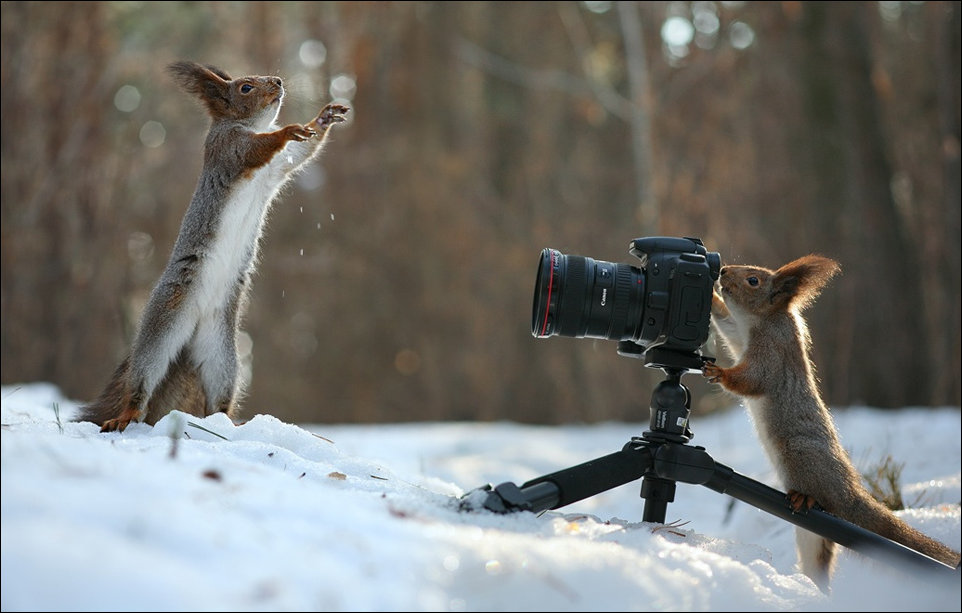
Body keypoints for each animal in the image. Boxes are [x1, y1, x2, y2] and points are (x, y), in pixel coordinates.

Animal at [78, 58, 348, 430]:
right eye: (245, 87)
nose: (278, 81)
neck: (245, 124)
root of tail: (192, 332)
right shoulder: (227, 149)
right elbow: (255, 149)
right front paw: (286, 131)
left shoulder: (277, 168)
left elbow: (302, 152)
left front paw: (323, 118)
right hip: (163, 326)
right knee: (143, 379)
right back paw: (127, 415)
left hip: (223, 356)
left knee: (218, 397)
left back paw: (226, 425)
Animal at [700, 252, 956, 588]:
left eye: (753, 280)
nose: (723, 271)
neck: (762, 319)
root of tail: (848, 494)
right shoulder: (738, 334)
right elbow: (727, 324)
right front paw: (713, 300)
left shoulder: (772, 353)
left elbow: (752, 380)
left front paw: (719, 373)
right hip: (812, 538)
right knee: (818, 560)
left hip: (800, 456)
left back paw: (804, 499)